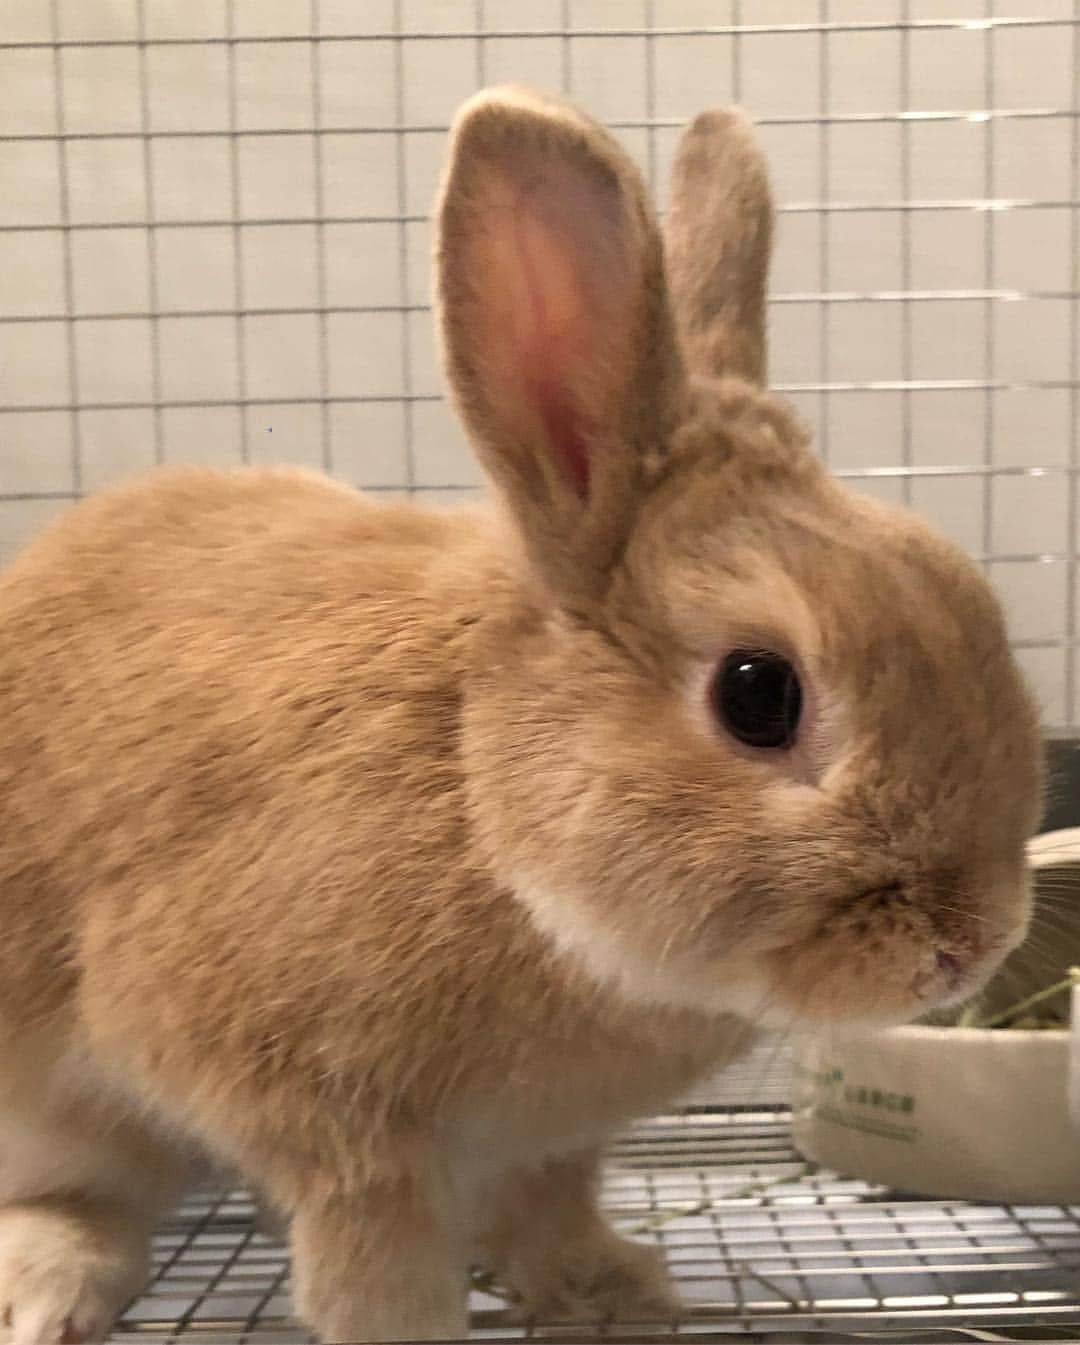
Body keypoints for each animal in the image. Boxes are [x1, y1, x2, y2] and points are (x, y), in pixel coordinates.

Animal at [0, 86, 1043, 1344]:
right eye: (758, 692)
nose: (973, 941)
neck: (482, 802)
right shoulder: (327, 1122)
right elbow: (374, 1259)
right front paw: (413, 1327)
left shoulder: (551, 1140)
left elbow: (553, 1208)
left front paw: (622, 1296)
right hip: (52, 1099)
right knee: (73, 1192)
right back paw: (52, 1286)